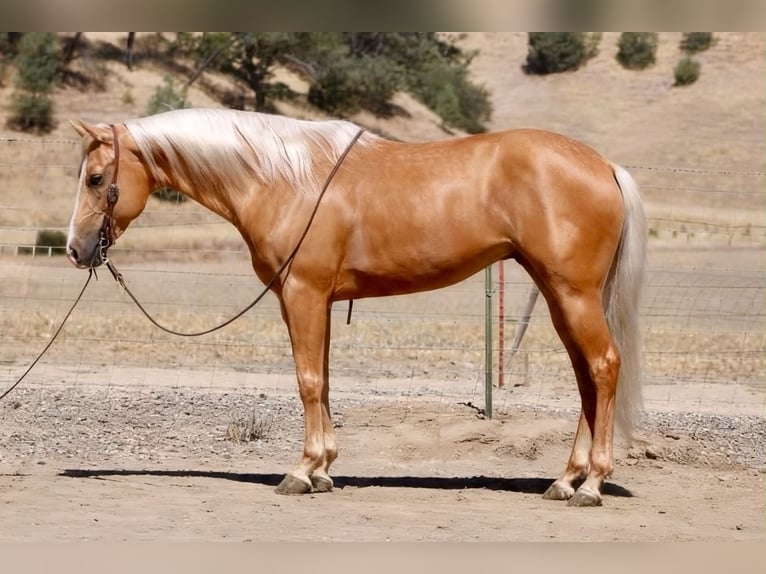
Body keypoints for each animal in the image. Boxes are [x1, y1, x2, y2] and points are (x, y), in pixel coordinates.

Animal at [66, 107, 646, 507]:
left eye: (95, 178)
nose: (75, 248)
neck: (284, 178)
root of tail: (605, 165)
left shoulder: (302, 294)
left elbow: (307, 381)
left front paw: (301, 472)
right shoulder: (316, 301)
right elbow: (321, 380)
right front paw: (324, 469)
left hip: (573, 295)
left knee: (603, 367)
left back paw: (592, 483)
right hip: (559, 297)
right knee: (586, 379)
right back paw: (566, 480)